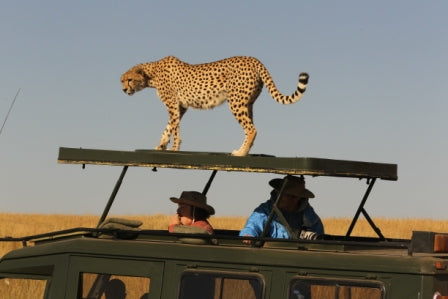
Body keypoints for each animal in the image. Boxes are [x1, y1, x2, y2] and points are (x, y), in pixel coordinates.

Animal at [120, 56, 308, 157]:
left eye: (129, 80)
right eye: (122, 80)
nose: (123, 90)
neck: (151, 74)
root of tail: (253, 59)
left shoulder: (173, 104)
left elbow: (174, 127)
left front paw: (174, 149)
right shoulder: (181, 106)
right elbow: (169, 127)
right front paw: (160, 146)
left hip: (236, 103)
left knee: (251, 129)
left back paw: (240, 153)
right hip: (247, 104)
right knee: (250, 128)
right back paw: (242, 150)